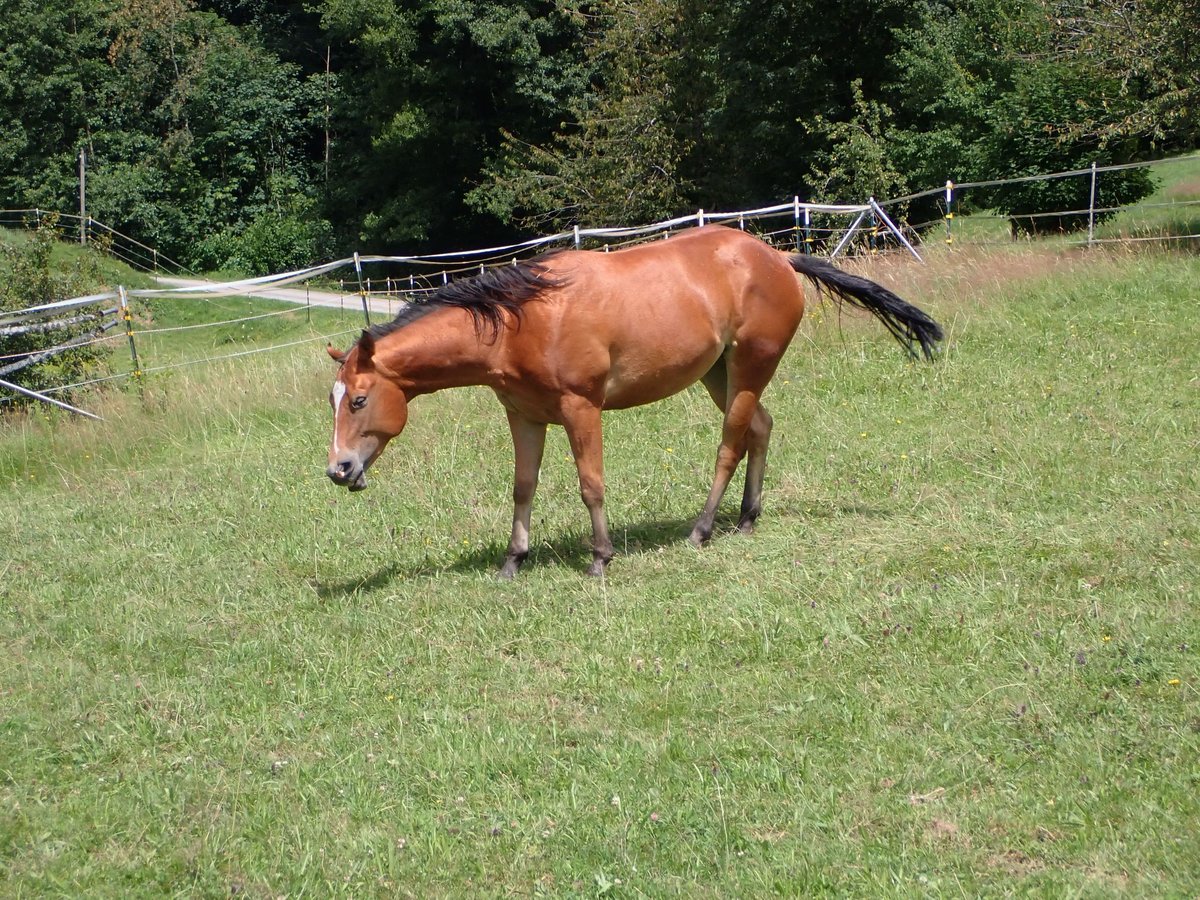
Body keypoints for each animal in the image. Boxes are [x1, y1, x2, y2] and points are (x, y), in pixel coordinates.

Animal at [326, 225, 936, 578]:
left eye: (358, 400)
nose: (338, 469)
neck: (522, 320)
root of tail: (779, 258)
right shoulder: (524, 416)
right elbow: (523, 487)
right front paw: (513, 560)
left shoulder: (580, 409)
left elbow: (590, 484)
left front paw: (601, 557)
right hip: (721, 374)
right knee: (760, 428)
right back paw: (746, 519)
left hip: (748, 369)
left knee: (731, 443)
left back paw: (702, 529)